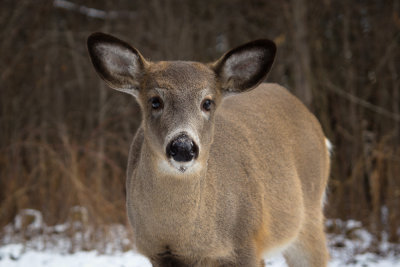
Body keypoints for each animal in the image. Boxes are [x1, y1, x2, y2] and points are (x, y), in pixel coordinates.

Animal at [87, 33, 332, 267]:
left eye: (207, 103)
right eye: (155, 101)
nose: (183, 146)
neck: (182, 237)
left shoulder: (246, 242)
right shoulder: (158, 253)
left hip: (309, 218)